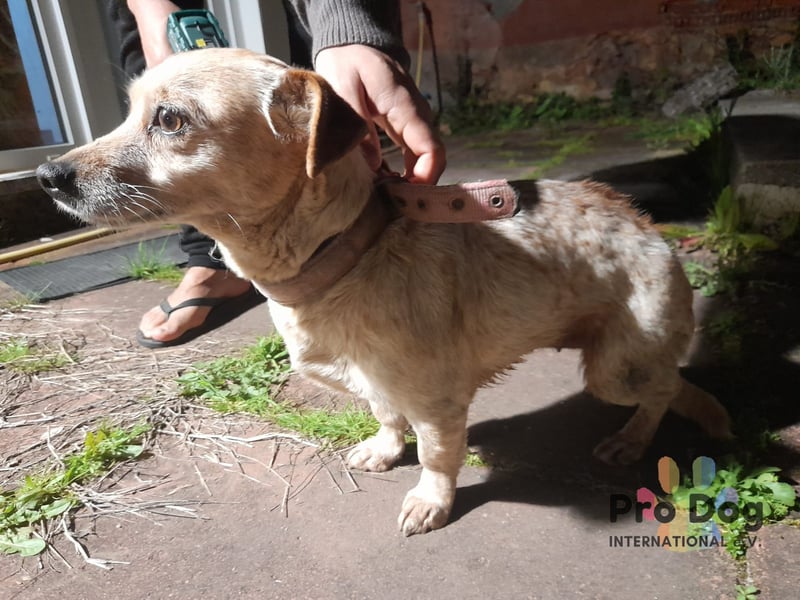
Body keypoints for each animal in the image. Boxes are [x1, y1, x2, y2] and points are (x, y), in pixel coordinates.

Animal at [37, 48, 731, 536]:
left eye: (170, 119)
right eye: (128, 112)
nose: (47, 174)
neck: (345, 256)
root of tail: (649, 228)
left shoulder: (440, 403)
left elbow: (438, 456)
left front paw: (430, 501)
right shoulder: (378, 382)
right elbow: (385, 413)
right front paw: (385, 448)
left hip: (615, 370)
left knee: (666, 389)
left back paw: (635, 439)